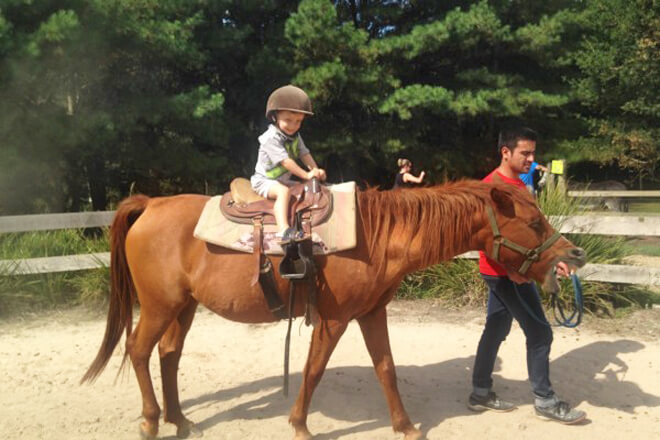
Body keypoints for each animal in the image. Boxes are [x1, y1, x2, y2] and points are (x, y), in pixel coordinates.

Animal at [84, 180, 588, 440]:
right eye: (535, 222)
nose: (574, 255)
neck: (377, 235)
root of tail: (150, 205)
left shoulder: (371, 314)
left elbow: (386, 369)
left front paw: (406, 427)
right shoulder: (334, 318)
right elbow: (313, 370)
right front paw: (300, 426)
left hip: (182, 307)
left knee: (168, 355)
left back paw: (180, 420)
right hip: (158, 306)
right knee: (138, 351)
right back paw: (152, 421)